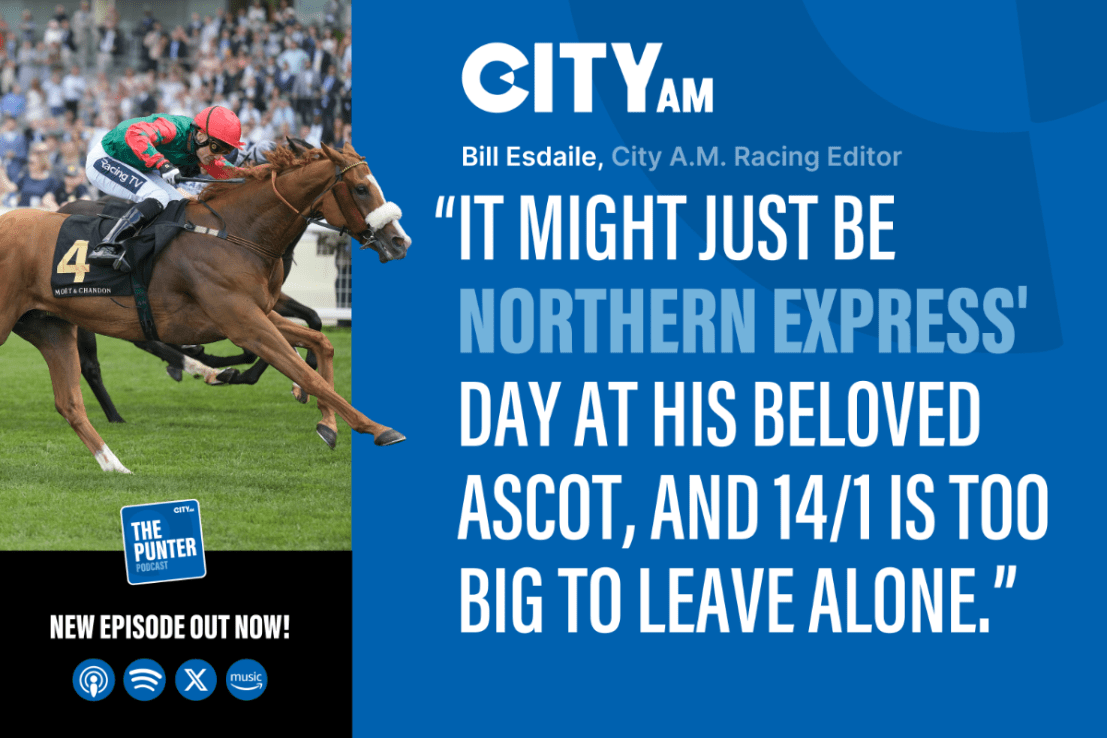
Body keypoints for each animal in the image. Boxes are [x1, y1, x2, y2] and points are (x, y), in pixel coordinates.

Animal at [0, 141, 409, 472]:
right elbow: (304, 369)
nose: (399, 241)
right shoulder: (244, 322)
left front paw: (327, 423)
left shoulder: (257, 311)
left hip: (49, 327)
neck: (236, 234)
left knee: (70, 402)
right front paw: (377, 428)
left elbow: (319, 340)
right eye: (361, 188)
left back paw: (115, 464)